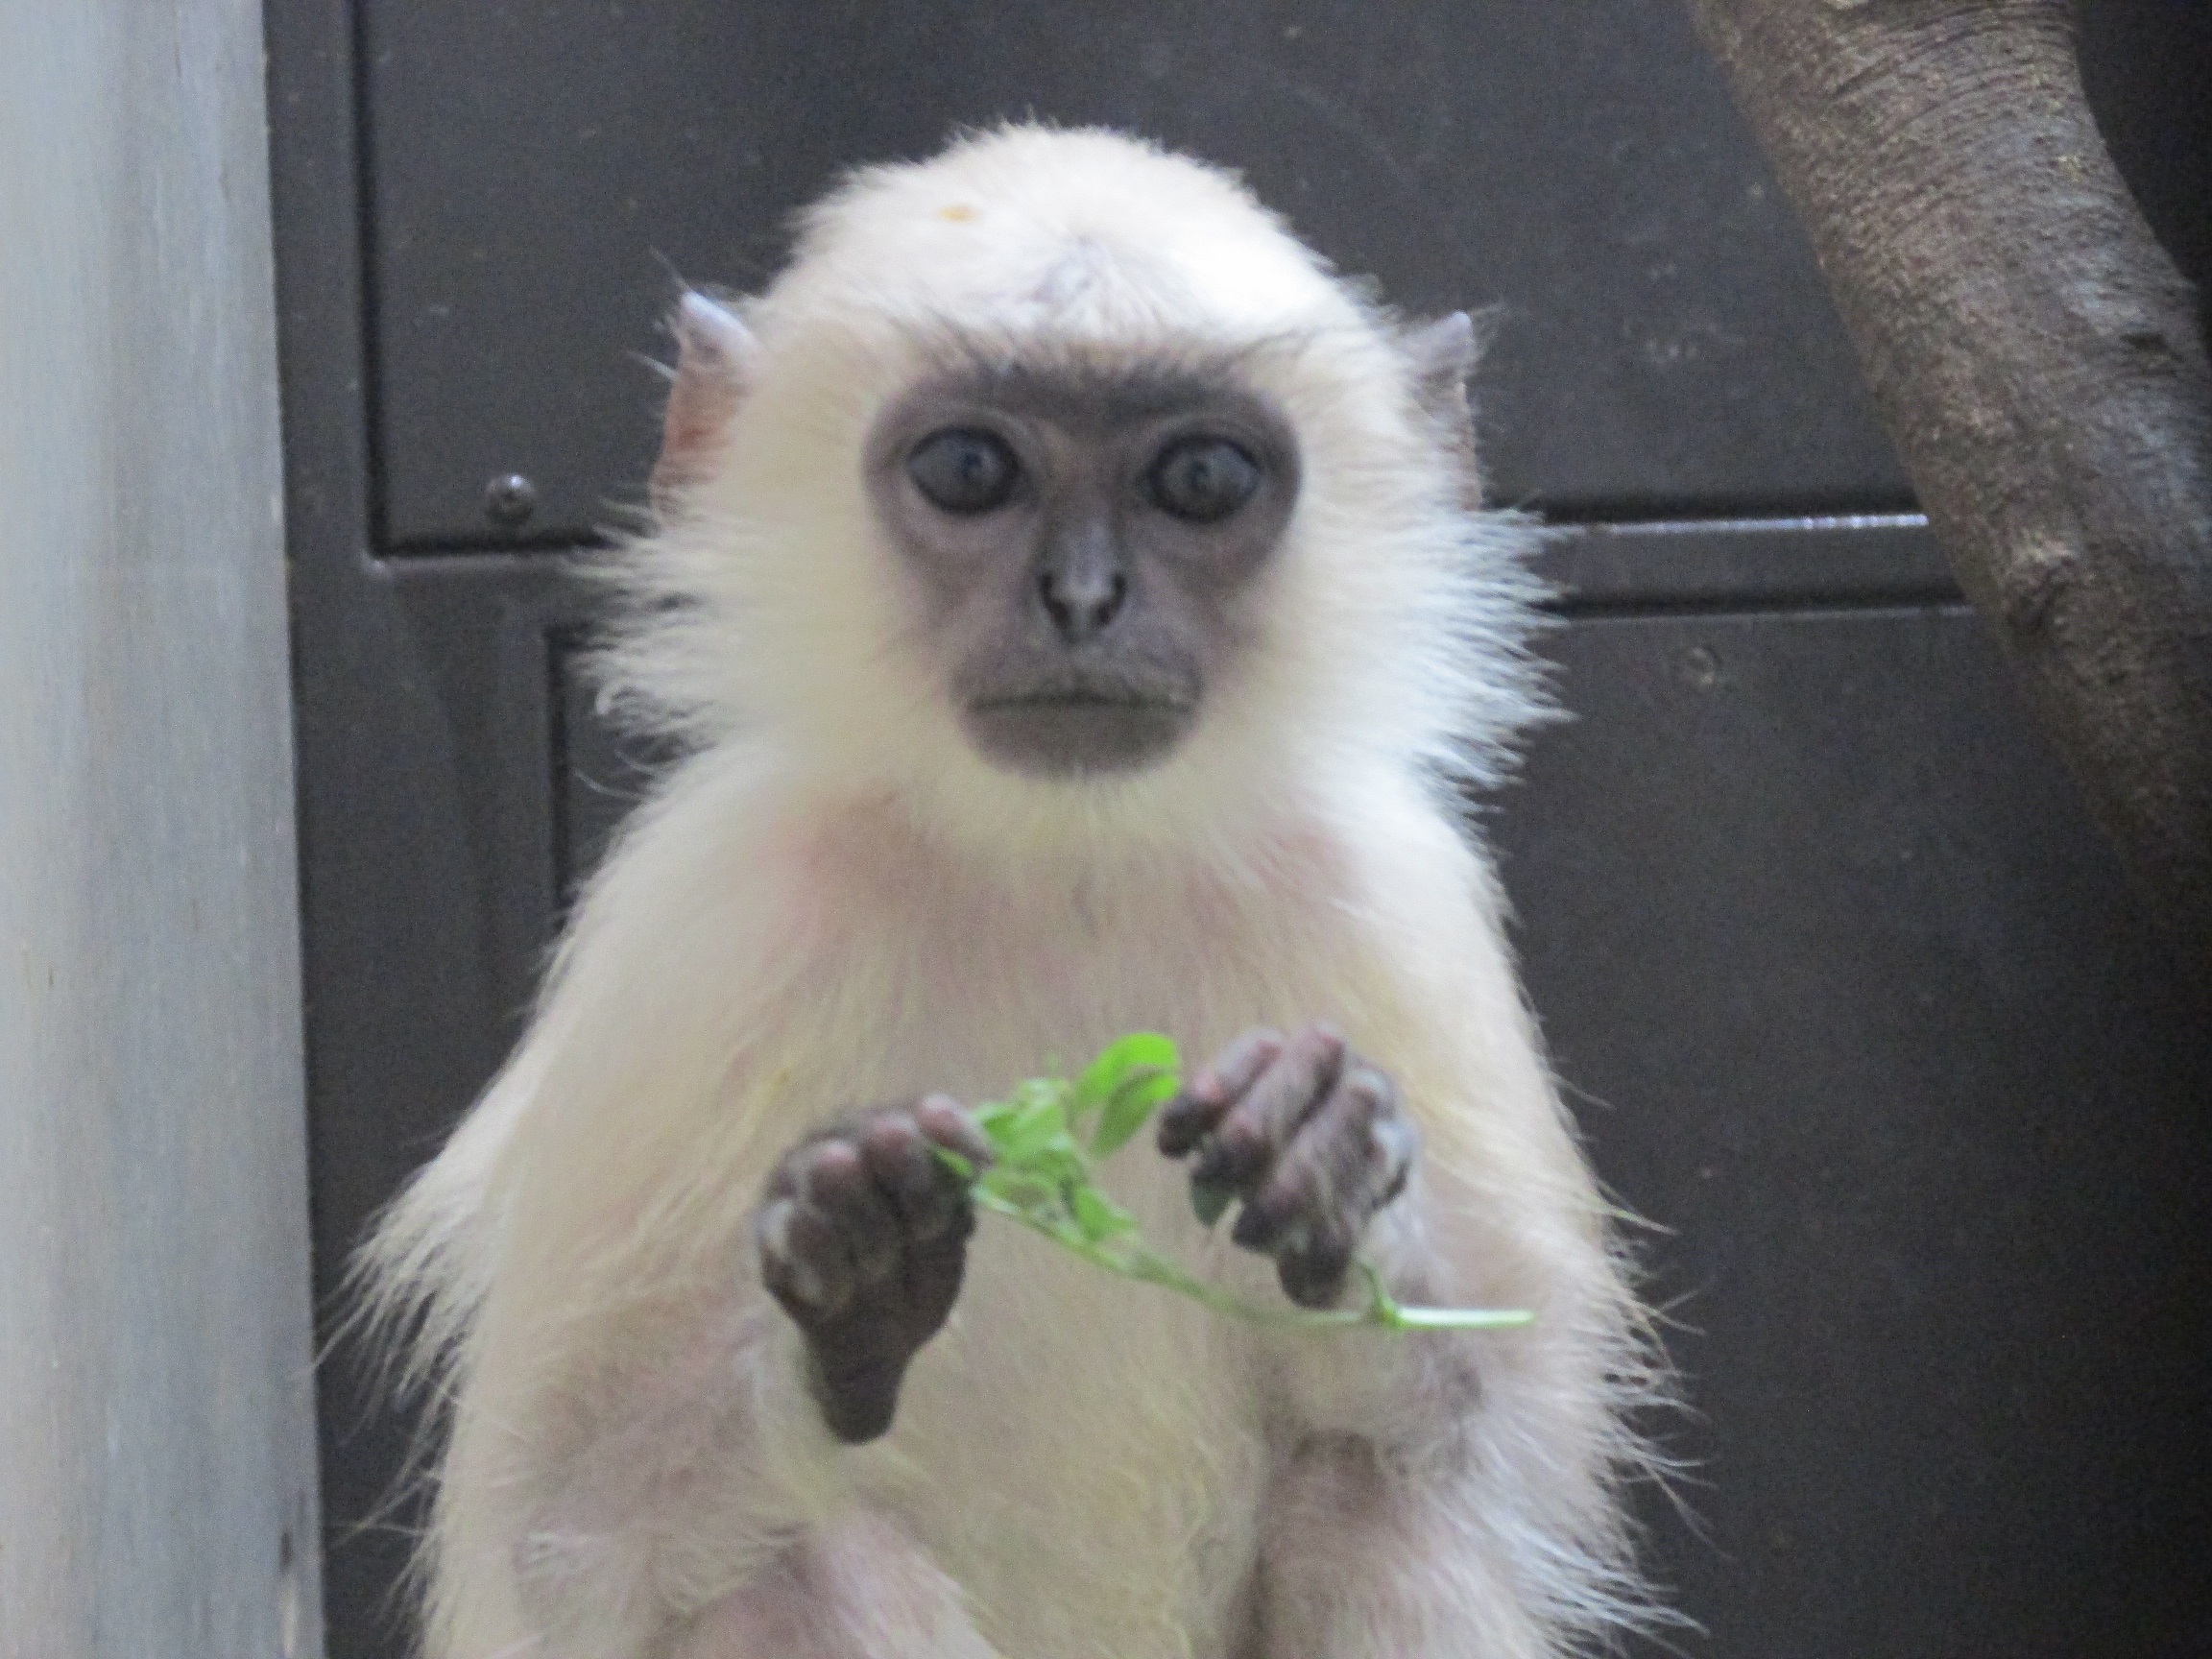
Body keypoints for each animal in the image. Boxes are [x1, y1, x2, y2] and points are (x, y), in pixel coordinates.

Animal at [362, 126, 1654, 1659]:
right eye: (973, 468)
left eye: (1200, 481)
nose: (1083, 600)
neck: (1061, 870)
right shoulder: (720, 915)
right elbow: (569, 1525)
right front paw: (851, 1294)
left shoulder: (1384, 905)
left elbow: (1504, 1444)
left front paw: (1334, 1172)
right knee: (796, 1567)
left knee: (1375, 1503)